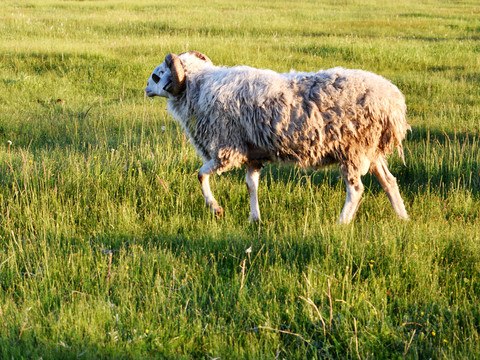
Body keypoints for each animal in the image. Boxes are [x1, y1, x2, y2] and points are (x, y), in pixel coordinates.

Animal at [144, 51, 410, 224]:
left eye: (158, 75)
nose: (145, 89)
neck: (199, 88)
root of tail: (393, 102)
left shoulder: (227, 150)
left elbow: (200, 175)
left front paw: (216, 209)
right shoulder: (252, 154)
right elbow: (251, 184)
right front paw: (254, 219)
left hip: (353, 150)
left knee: (356, 189)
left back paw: (341, 224)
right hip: (371, 151)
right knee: (389, 181)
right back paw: (402, 218)